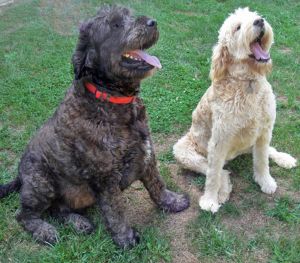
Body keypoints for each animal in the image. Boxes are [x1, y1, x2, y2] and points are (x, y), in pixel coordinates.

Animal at [0, 6, 189, 250]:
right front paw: (126, 239)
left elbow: (157, 184)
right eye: (115, 24)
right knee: (24, 215)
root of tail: (20, 175)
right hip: (41, 182)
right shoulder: (106, 179)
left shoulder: (147, 154)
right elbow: (116, 211)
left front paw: (172, 201)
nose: (152, 22)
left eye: (130, 13)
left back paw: (78, 222)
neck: (110, 100)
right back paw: (45, 231)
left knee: (58, 209)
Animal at [173, 7, 298, 214]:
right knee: (218, 170)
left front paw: (265, 181)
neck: (248, 82)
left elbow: (262, 160)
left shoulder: (264, 131)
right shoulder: (219, 139)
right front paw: (209, 200)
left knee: (264, 152)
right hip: (184, 151)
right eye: (237, 27)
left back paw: (284, 158)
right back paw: (223, 190)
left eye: (255, 16)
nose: (260, 21)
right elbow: (213, 174)